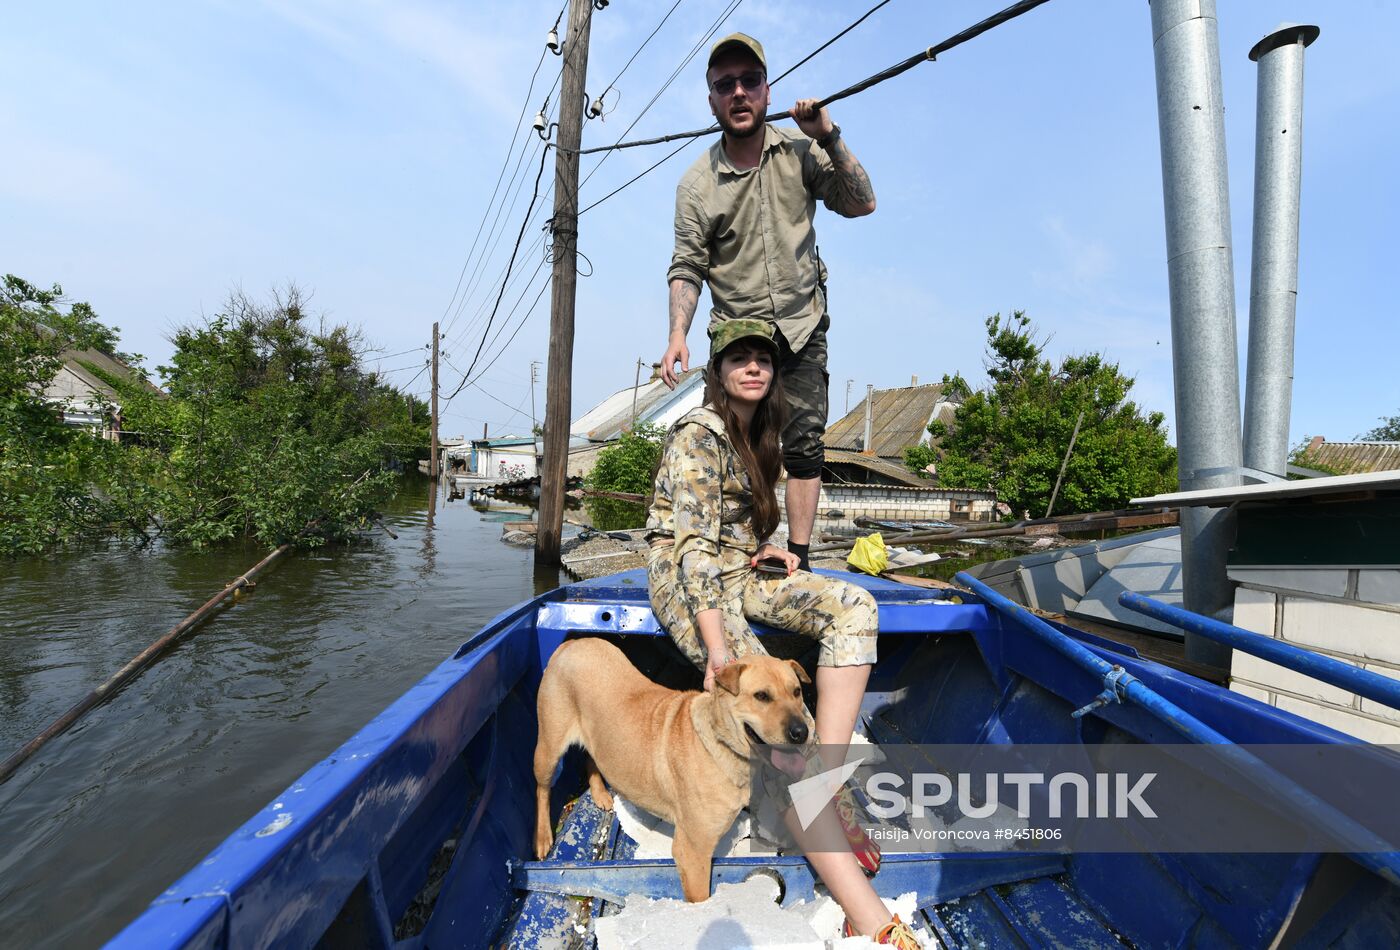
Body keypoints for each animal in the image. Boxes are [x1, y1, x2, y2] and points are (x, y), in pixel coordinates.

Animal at [532, 637, 817, 901]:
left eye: (796, 692)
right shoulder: (691, 852)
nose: (801, 732)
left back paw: (600, 793)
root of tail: (573, 642)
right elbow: (701, 902)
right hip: (548, 748)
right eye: (761, 696)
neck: (720, 744)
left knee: (591, 756)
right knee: (542, 789)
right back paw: (543, 837)